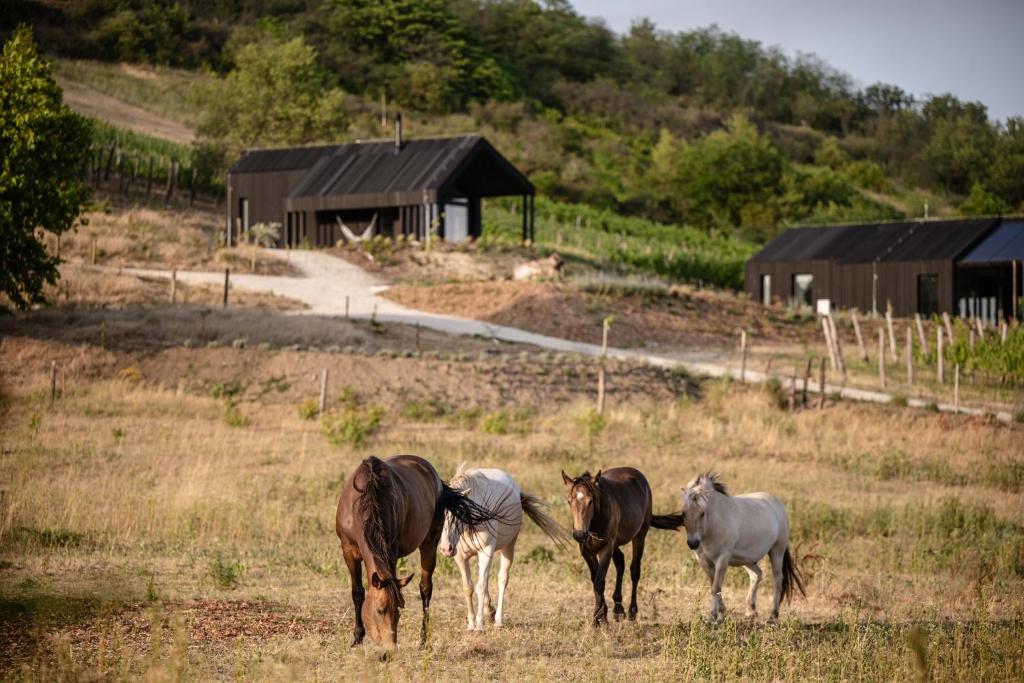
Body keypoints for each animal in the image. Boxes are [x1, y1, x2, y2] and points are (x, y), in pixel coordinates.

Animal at [335, 455, 498, 651]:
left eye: (399, 609)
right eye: (380, 610)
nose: (390, 650)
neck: (366, 501)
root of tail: (436, 479)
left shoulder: (392, 551)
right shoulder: (348, 551)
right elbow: (357, 593)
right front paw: (357, 639)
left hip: (430, 544)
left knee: (425, 588)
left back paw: (423, 639)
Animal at [438, 465, 567, 630]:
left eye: (459, 512)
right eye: (440, 514)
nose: (446, 548)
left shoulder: (486, 550)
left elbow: (481, 586)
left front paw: (479, 625)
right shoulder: (460, 557)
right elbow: (468, 587)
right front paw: (471, 623)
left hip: (508, 547)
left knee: (502, 579)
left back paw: (498, 620)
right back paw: (489, 611)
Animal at [561, 468, 685, 626]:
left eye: (590, 501)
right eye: (569, 501)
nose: (579, 534)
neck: (595, 522)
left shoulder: (606, 549)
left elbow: (599, 581)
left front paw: (599, 620)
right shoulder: (586, 551)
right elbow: (595, 579)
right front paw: (601, 616)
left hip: (639, 536)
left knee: (635, 570)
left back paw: (632, 612)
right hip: (615, 544)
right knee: (620, 561)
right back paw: (618, 609)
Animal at [679, 472, 805, 622]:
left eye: (702, 513)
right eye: (683, 513)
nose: (693, 543)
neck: (714, 523)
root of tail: (777, 504)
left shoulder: (722, 559)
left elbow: (716, 587)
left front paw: (720, 616)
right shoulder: (703, 560)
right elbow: (713, 586)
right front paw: (712, 616)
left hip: (777, 551)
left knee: (778, 580)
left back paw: (772, 616)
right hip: (747, 559)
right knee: (757, 574)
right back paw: (751, 611)